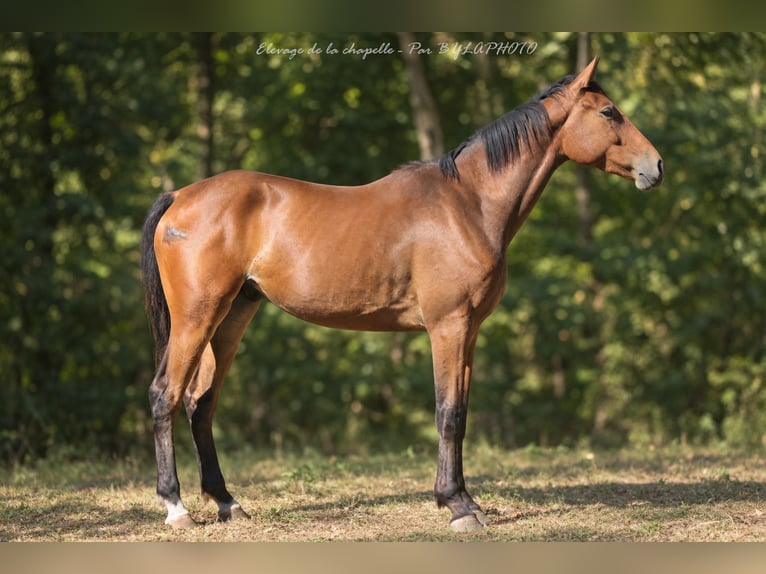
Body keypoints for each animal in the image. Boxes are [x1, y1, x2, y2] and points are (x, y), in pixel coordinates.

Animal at [140, 57, 663, 532]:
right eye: (609, 112)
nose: (656, 166)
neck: (468, 205)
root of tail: (180, 197)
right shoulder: (447, 326)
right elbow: (447, 414)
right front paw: (456, 507)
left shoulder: (469, 331)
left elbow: (461, 414)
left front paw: (465, 501)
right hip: (197, 316)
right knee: (166, 395)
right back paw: (177, 509)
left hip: (231, 317)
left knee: (201, 403)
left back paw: (227, 503)